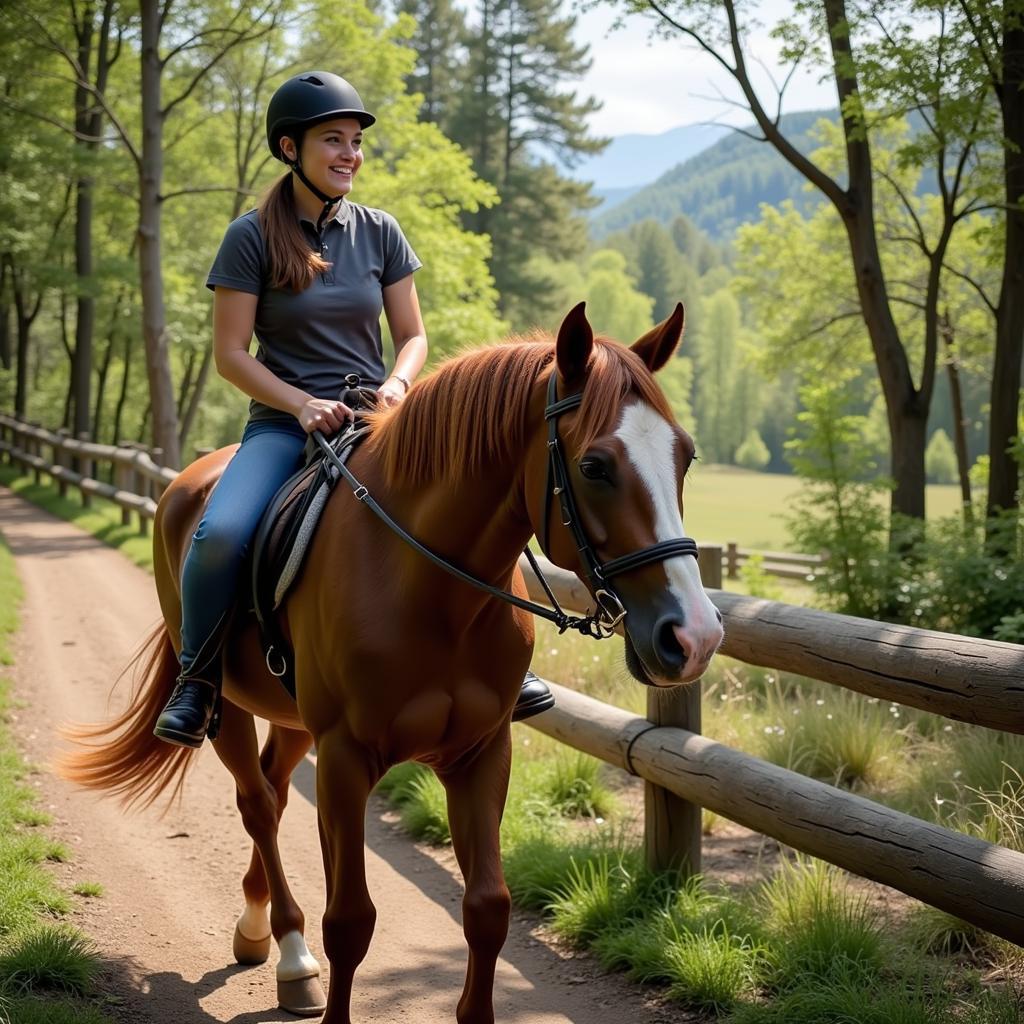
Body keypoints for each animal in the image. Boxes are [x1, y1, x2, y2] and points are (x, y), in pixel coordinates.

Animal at [59, 303, 724, 1024]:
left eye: (685, 455)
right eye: (597, 466)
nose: (694, 635)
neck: (431, 590)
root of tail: (186, 481)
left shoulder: (481, 752)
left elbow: (488, 908)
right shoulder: (347, 756)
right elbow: (350, 920)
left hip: (295, 721)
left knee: (277, 789)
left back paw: (258, 930)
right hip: (227, 706)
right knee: (257, 803)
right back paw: (291, 954)